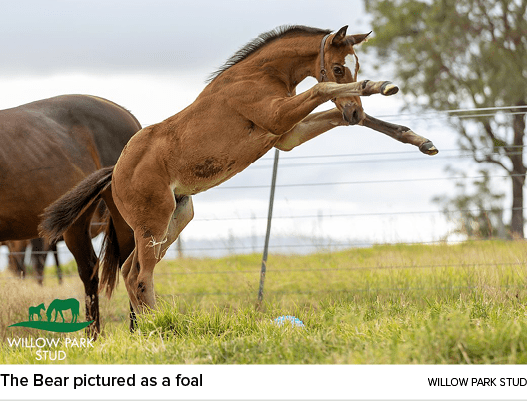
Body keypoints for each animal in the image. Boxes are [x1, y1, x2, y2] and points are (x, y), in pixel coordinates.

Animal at [40, 24, 438, 334]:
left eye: (355, 66)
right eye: (339, 68)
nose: (354, 112)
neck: (261, 74)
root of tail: (115, 173)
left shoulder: (286, 136)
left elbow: (341, 115)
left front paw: (421, 140)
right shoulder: (278, 117)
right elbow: (321, 91)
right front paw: (380, 85)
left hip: (176, 218)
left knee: (130, 270)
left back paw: (155, 326)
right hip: (153, 221)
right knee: (140, 275)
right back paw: (161, 328)